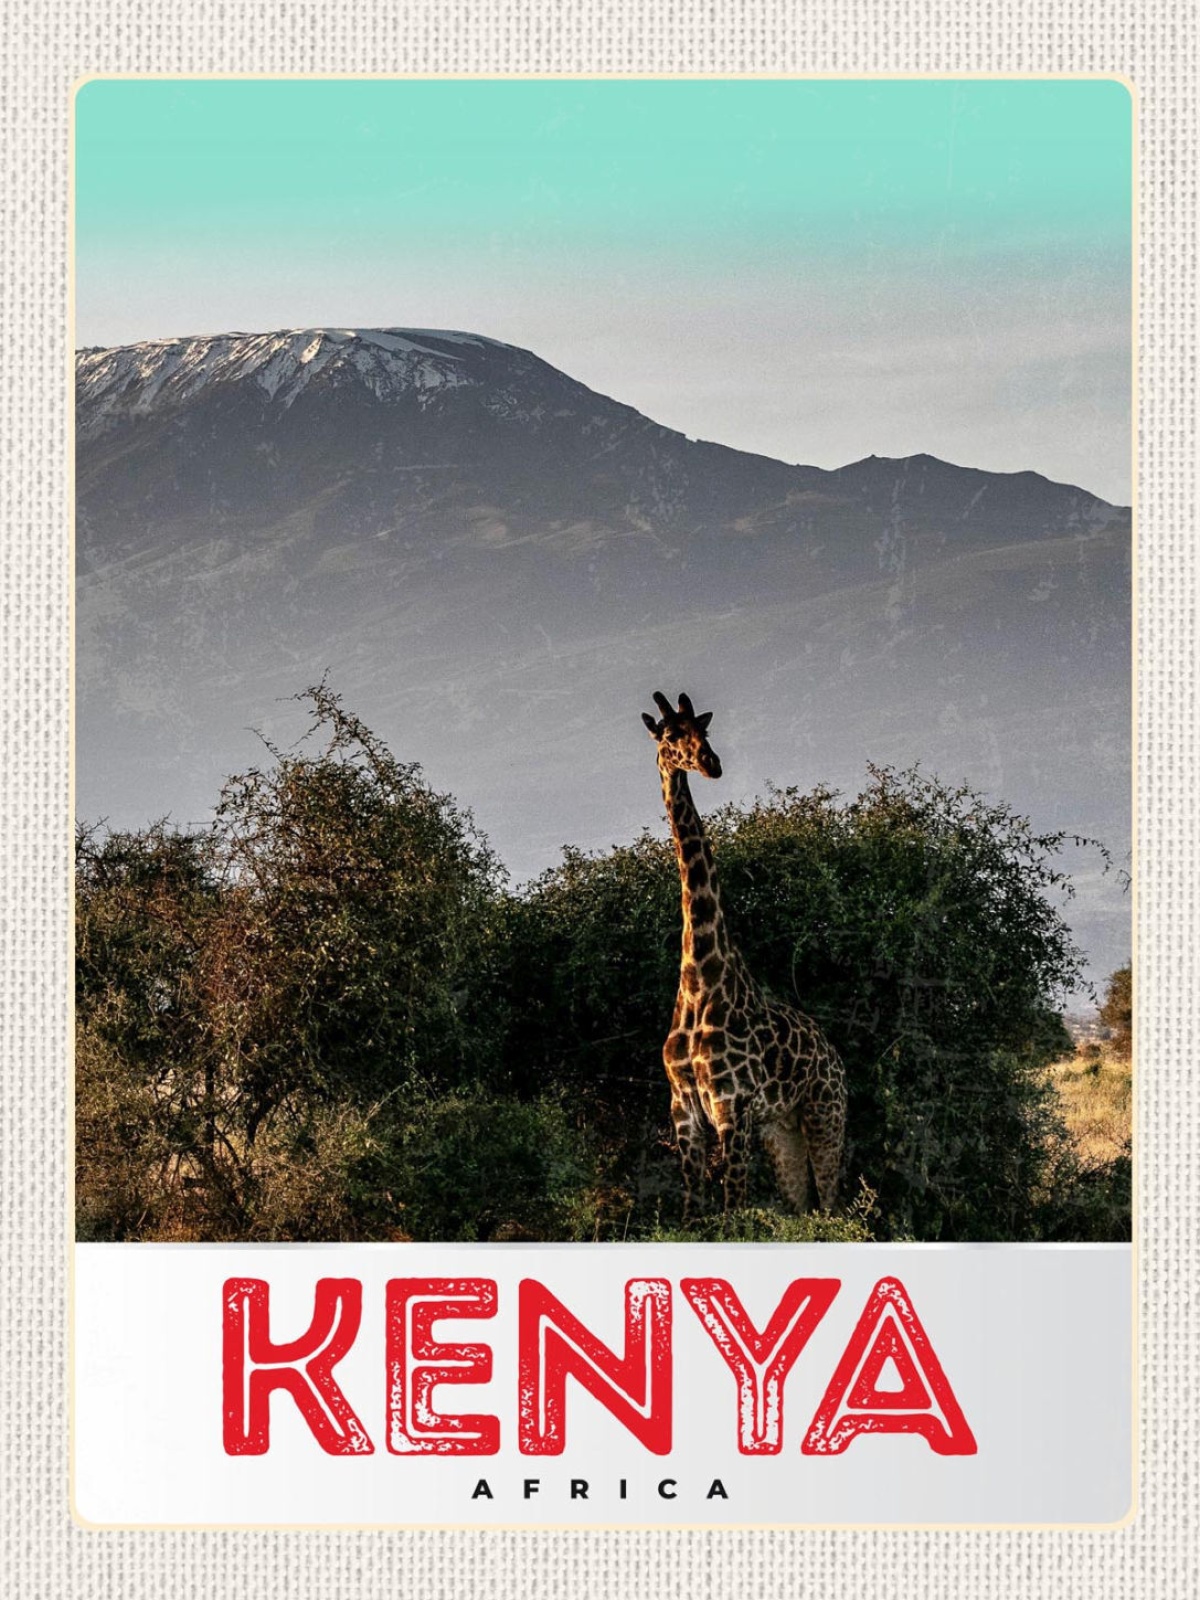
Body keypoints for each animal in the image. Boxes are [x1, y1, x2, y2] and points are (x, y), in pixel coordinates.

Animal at [642, 690, 847, 1222]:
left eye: (705, 732)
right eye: (671, 735)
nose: (711, 764)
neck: (700, 979)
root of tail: (836, 1056)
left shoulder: (730, 1107)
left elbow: (733, 1207)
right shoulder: (684, 1110)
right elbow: (692, 1211)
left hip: (825, 1114)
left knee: (834, 1204)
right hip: (781, 1129)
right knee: (803, 1204)